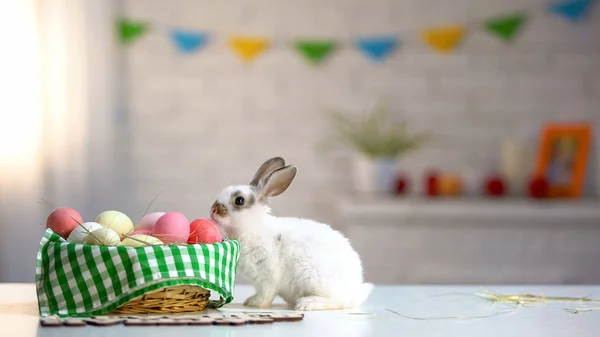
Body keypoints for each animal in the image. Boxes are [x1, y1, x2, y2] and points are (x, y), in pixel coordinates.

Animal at [209, 156, 372, 310]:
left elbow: (266, 293)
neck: (252, 227)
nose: (213, 210)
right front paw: (250, 301)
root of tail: (355, 290)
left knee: (337, 302)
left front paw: (255, 303)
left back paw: (307, 303)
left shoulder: (267, 276)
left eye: (239, 200)